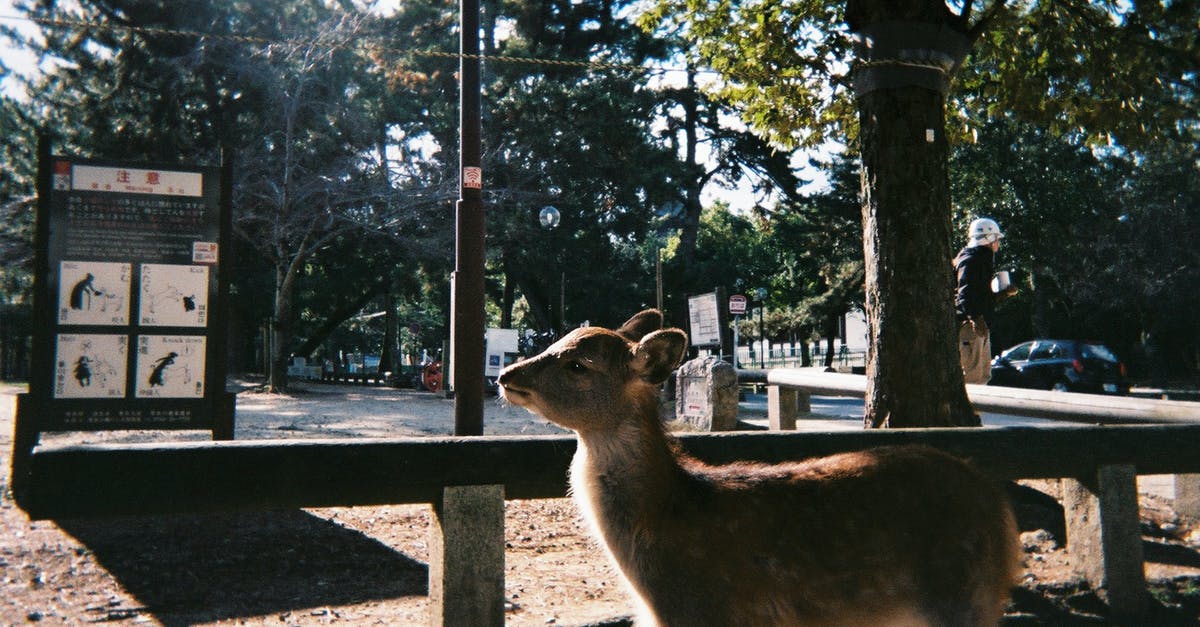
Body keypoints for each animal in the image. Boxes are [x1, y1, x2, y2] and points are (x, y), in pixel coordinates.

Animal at [499, 309, 1022, 619]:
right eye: (558, 341)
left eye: (578, 365)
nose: (506, 373)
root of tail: (1003, 514)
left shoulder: (709, 611)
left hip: (962, 596)